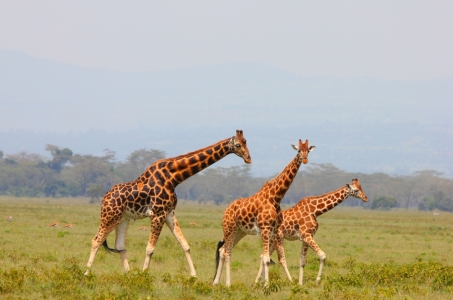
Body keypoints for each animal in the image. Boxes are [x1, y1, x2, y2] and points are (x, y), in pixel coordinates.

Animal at [83, 129, 249, 276]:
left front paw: (194, 276)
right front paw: (144, 274)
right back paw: (86, 273)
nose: (248, 158)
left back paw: (129, 274)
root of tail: (104, 197)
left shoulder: (169, 212)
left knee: (119, 245)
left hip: (123, 218)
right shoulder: (158, 214)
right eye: (238, 145)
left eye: (246, 142)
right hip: (110, 216)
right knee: (96, 240)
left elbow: (185, 244)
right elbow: (150, 249)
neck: (173, 178)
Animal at [213, 139, 314, 286]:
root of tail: (226, 210)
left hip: (240, 231)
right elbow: (266, 258)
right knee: (227, 252)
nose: (305, 159)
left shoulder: (273, 231)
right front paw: (266, 285)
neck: (275, 197)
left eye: (308, 151)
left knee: (223, 250)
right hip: (229, 228)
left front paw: (263, 283)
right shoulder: (265, 229)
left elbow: (266, 257)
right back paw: (227, 284)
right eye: (299, 150)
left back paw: (216, 282)